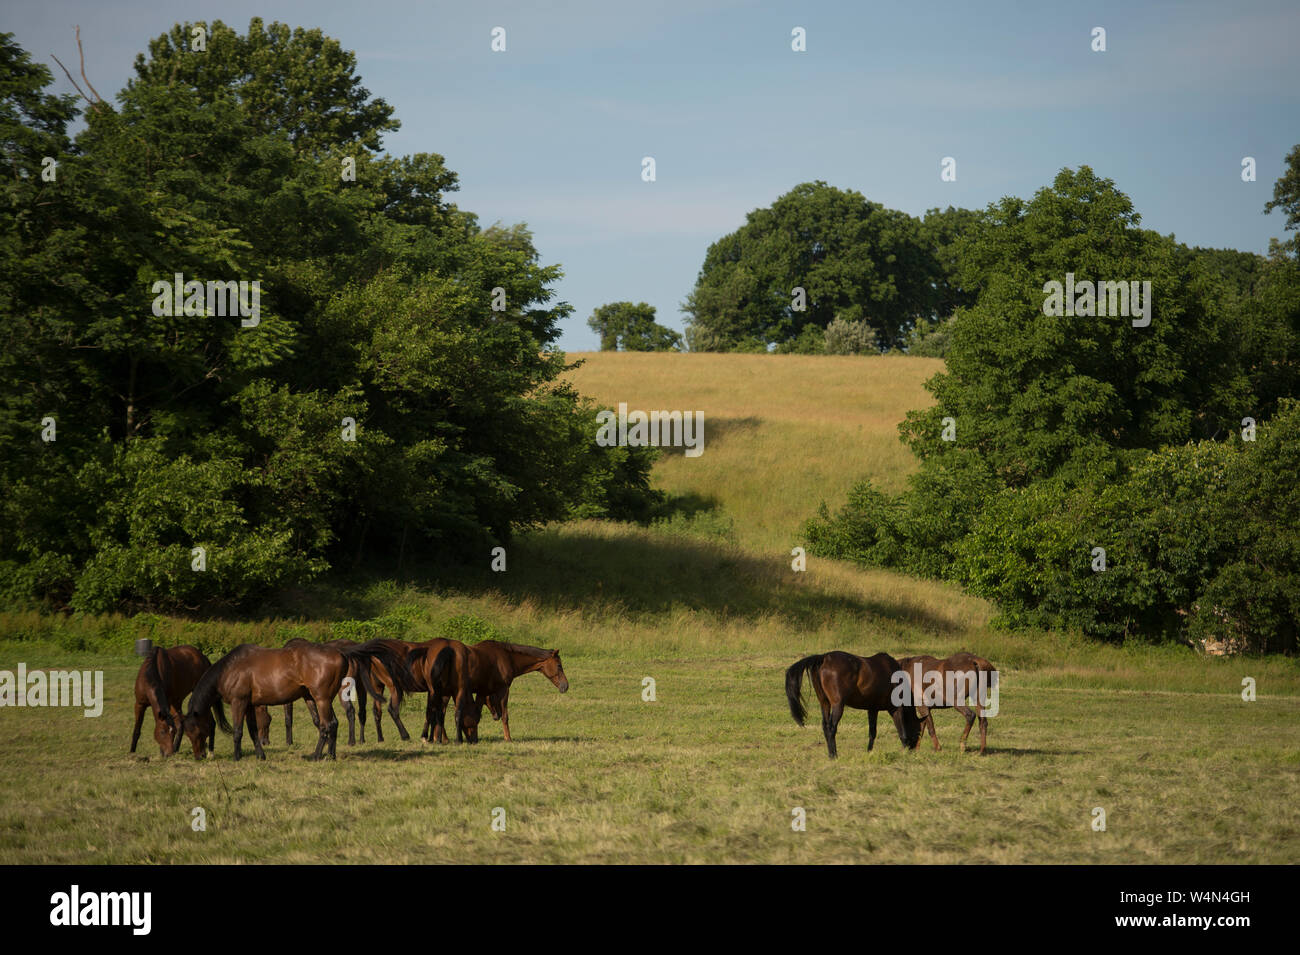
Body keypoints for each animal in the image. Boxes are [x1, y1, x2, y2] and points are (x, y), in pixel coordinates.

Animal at [179, 639, 395, 764]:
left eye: (195, 730)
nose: (199, 756)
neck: (230, 668)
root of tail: (341, 653)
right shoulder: (249, 705)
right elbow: (252, 731)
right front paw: (260, 755)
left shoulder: (238, 702)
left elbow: (238, 731)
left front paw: (236, 757)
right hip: (317, 699)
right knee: (328, 725)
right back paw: (328, 755)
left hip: (321, 699)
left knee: (329, 725)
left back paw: (319, 756)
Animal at [785, 649, 920, 764]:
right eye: (918, 731)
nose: (914, 750)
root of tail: (824, 658)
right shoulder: (896, 709)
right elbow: (902, 733)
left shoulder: (872, 709)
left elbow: (872, 732)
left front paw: (869, 752)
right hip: (838, 705)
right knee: (831, 728)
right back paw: (834, 755)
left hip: (824, 703)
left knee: (825, 726)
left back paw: (830, 754)